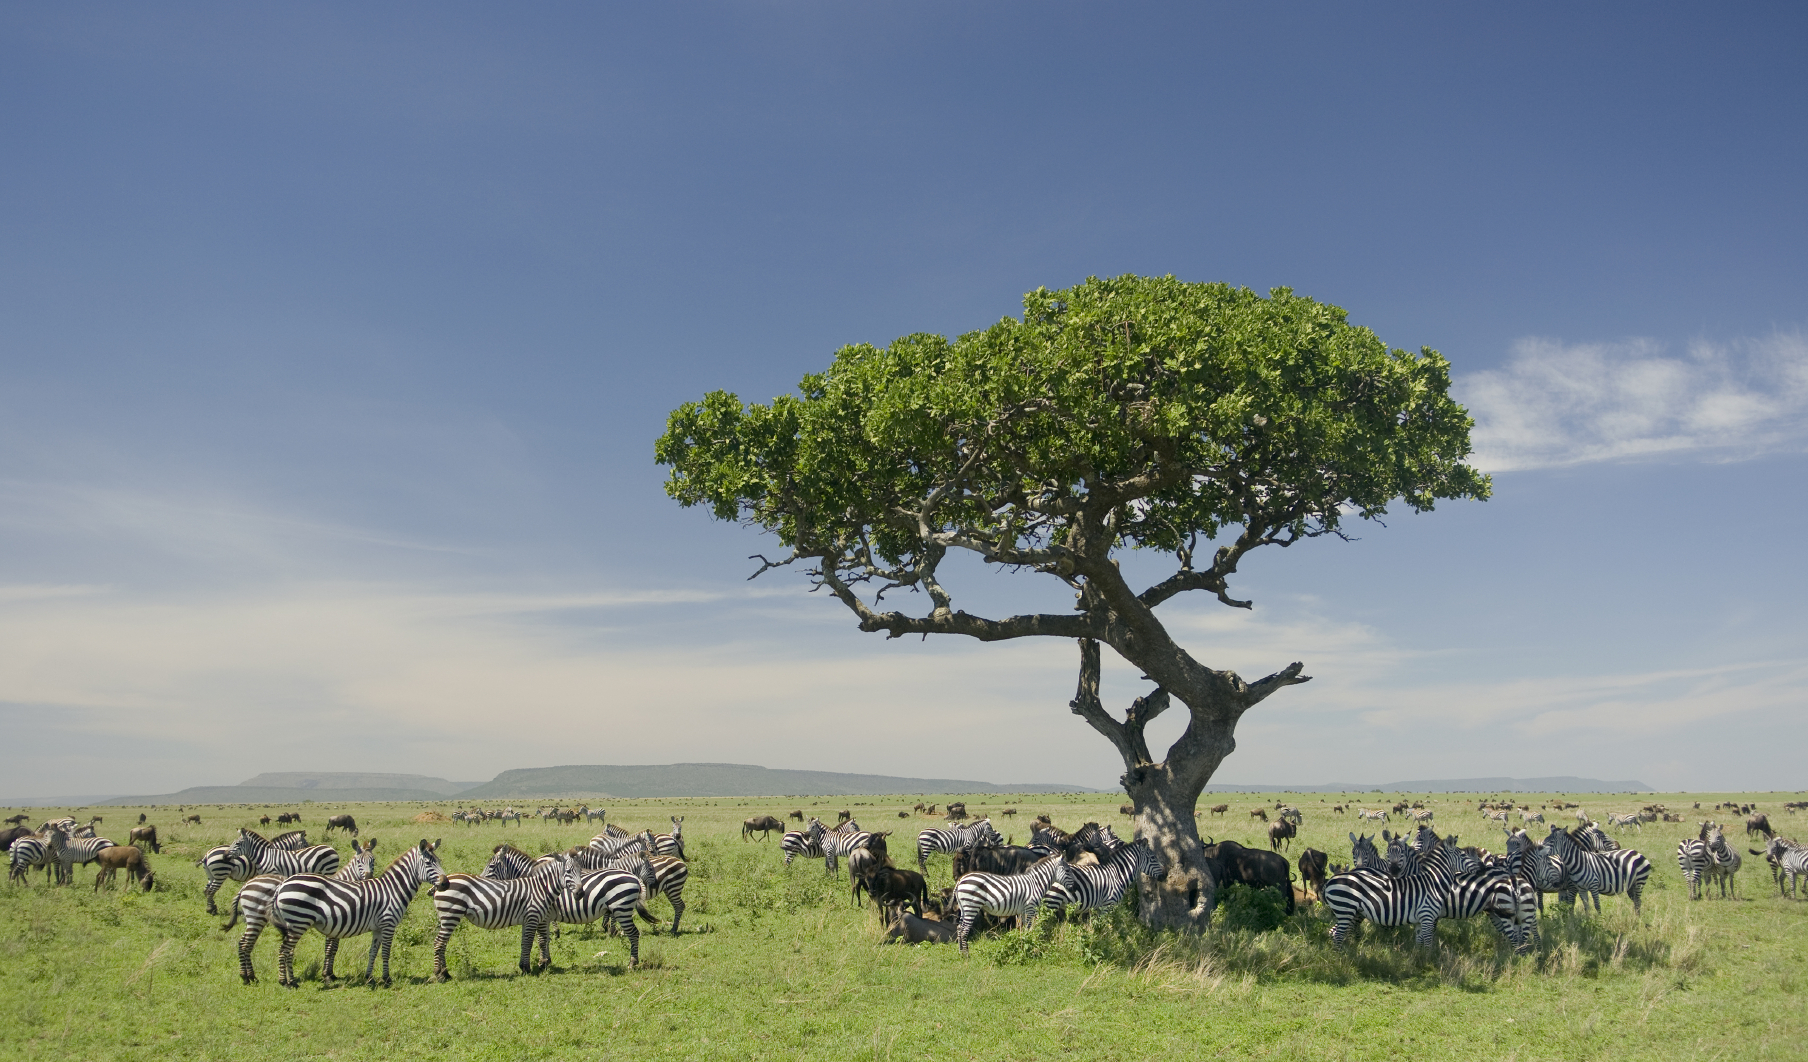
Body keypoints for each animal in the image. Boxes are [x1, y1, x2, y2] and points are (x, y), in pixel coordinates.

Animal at [227, 839, 379, 991]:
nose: (369, 877)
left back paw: (250, 977)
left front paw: (330, 973)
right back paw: (247, 977)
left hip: (255, 919)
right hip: (257, 918)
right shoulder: (334, 923)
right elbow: (330, 948)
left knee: (245, 943)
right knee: (245, 944)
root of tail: (245, 885)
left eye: (373, 860)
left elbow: (334, 948)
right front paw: (327, 975)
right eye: (359, 861)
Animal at [271, 839, 448, 991]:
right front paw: (386, 979)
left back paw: (292, 981)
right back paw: (285, 982)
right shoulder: (388, 924)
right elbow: (386, 952)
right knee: (284, 950)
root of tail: (282, 885)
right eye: (428, 863)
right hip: (298, 921)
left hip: (294, 924)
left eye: (439, 861)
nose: (446, 883)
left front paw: (369, 977)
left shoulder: (378, 928)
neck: (393, 890)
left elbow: (373, 952)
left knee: (288, 951)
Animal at [430, 850, 578, 984]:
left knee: (442, 943)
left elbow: (525, 942)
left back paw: (446, 973)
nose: (580, 893)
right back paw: (440, 975)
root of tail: (441, 883)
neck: (540, 888)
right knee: (439, 942)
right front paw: (527, 969)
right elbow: (531, 942)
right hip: (451, 914)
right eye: (568, 872)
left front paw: (524, 966)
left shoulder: (528, 919)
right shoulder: (533, 916)